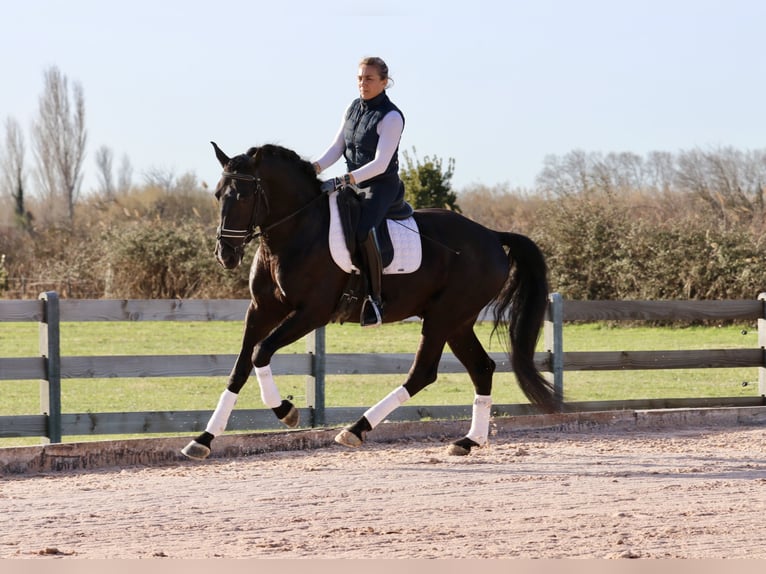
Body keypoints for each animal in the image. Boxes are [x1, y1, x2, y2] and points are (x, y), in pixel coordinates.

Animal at [182, 144, 560, 464]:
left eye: (245, 195)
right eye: (218, 194)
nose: (225, 254)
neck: (295, 233)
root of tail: (492, 236)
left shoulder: (311, 313)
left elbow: (260, 352)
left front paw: (286, 411)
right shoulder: (261, 311)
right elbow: (240, 367)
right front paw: (203, 440)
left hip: (443, 317)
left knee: (422, 373)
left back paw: (355, 430)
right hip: (458, 322)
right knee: (481, 369)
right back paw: (469, 441)